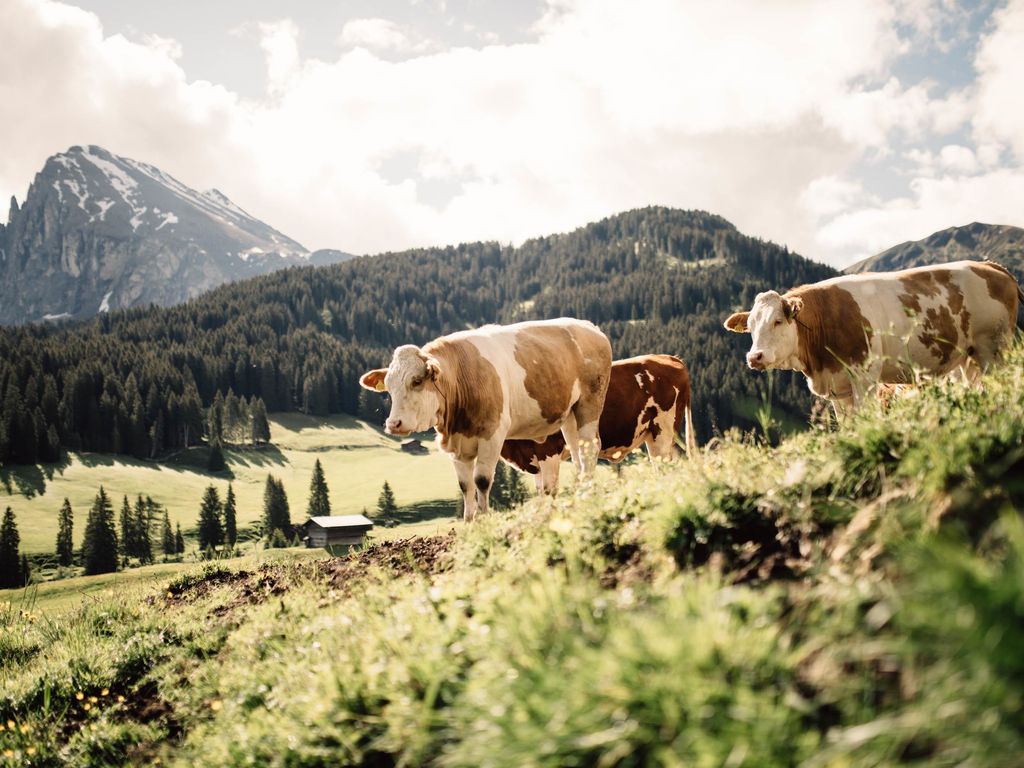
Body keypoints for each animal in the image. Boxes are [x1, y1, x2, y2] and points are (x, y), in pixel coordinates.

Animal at [359, 318, 612, 521]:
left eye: (417, 381)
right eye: (388, 387)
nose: (393, 424)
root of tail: (589, 327)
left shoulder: (493, 434)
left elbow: (481, 480)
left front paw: (485, 519)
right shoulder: (458, 447)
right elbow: (465, 486)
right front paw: (469, 523)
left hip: (590, 402)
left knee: (590, 447)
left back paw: (589, 492)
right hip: (570, 414)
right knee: (578, 452)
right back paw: (581, 492)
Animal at [724, 260, 1022, 413]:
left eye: (777, 321)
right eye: (750, 327)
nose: (754, 357)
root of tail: (988, 265)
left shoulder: (864, 377)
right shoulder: (838, 390)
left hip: (993, 348)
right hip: (966, 360)